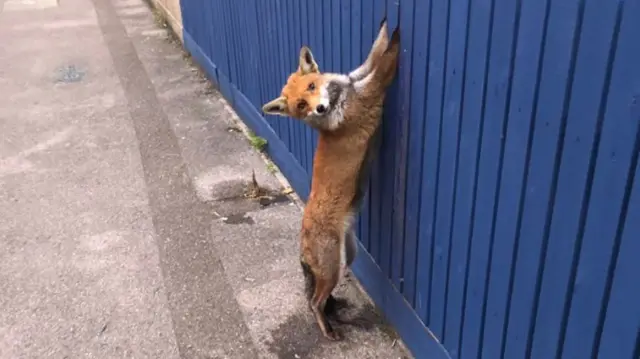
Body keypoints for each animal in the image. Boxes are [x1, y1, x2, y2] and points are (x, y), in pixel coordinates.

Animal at [260, 19, 400, 340]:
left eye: (312, 87)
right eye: (301, 105)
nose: (319, 108)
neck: (342, 99)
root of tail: (302, 245)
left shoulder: (356, 77)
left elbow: (374, 53)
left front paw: (386, 26)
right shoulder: (372, 92)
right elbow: (387, 62)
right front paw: (398, 38)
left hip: (345, 258)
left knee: (323, 298)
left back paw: (335, 312)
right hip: (333, 268)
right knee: (314, 301)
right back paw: (327, 329)